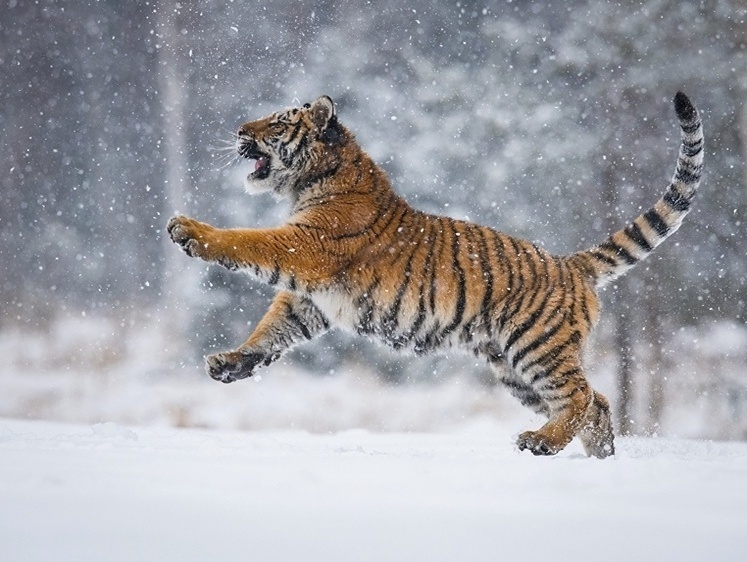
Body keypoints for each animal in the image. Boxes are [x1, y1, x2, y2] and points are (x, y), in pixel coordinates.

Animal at [167, 92, 704, 458]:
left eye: (277, 123)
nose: (239, 129)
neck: (313, 181)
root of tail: (571, 262)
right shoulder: (311, 298)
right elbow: (273, 328)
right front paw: (232, 362)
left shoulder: (306, 248)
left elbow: (245, 240)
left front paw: (190, 230)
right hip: (514, 368)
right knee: (599, 400)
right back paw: (599, 457)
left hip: (537, 347)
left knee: (580, 394)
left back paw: (541, 443)